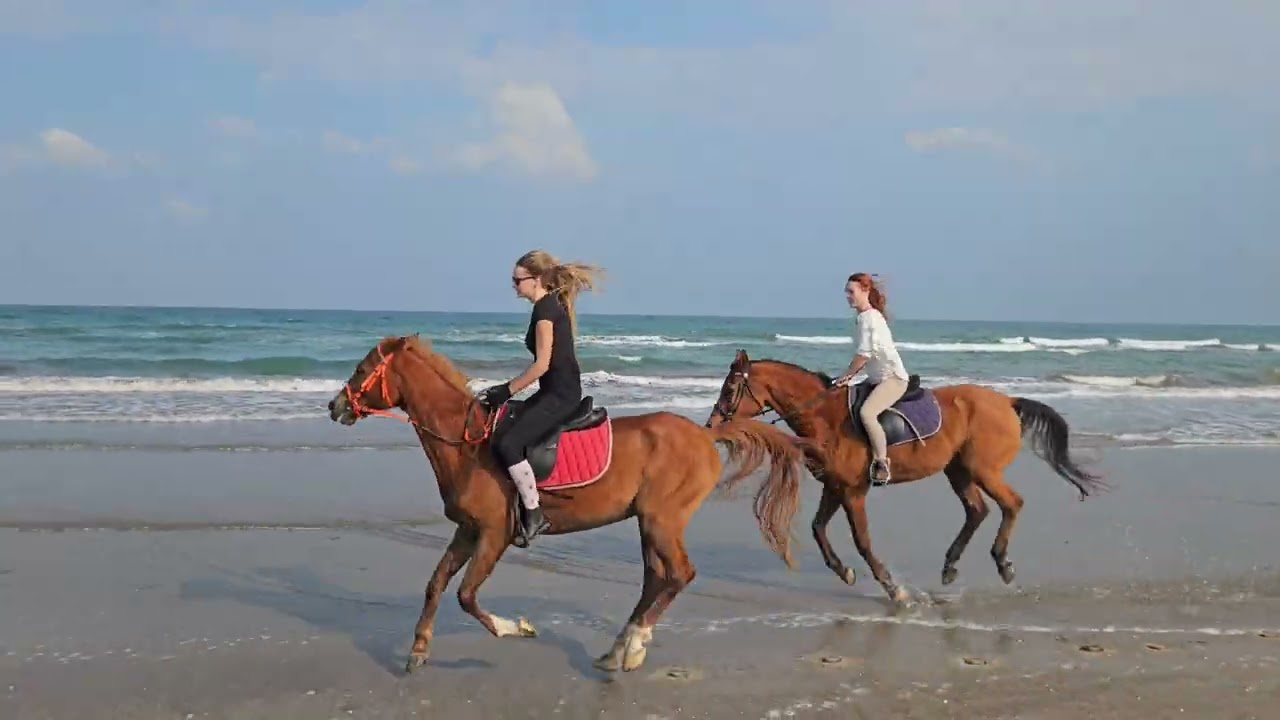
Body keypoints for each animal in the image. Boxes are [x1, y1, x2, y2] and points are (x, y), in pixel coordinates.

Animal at [327, 335, 819, 674]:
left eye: (362, 367)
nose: (334, 406)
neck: (467, 443)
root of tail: (703, 434)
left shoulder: (494, 534)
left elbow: (466, 595)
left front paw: (514, 627)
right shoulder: (467, 530)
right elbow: (435, 585)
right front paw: (417, 651)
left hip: (662, 520)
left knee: (679, 574)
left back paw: (635, 646)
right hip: (648, 522)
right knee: (655, 579)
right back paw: (617, 649)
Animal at [704, 349, 1107, 604]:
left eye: (730, 388)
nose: (711, 424)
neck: (825, 418)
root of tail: (1007, 401)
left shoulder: (853, 492)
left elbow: (863, 542)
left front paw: (892, 589)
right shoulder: (836, 487)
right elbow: (819, 530)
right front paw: (844, 572)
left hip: (984, 469)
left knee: (1011, 504)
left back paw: (1003, 564)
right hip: (958, 471)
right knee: (977, 511)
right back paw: (950, 566)